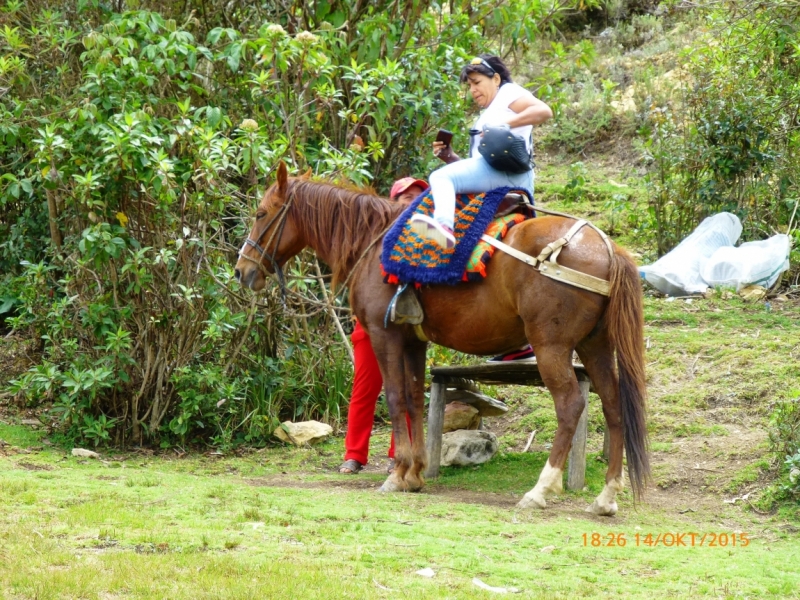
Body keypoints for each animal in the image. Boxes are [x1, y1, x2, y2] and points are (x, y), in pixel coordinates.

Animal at [238, 163, 648, 516]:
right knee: (613, 407)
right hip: (595, 346)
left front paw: (397, 474)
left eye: (260, 213)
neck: (373, 241)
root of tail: (607, 247)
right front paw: (414, 473)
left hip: (553, 347)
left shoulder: (385, 335)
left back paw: (540, 490)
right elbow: (414, 400)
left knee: (570, 406)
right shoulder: (414, 341)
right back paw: (606, 496)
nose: (242, 270)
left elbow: (395, 398)